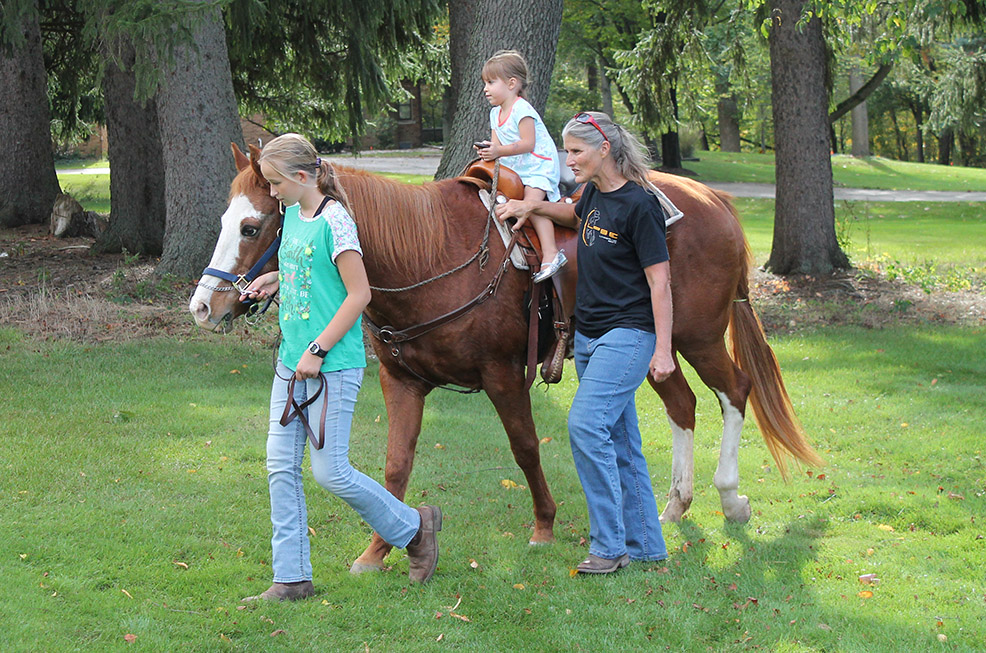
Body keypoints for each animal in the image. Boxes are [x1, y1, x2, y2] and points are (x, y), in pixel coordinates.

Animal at [188, 144, 820, 572]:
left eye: (252, 226)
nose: (202, 305)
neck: (428, 256)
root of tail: (714, 201)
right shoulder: (401, 383)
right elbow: (394, 466)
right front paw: (380, 550)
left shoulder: (501, 375)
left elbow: (525, 447)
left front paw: (543, 526)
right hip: (653, 351)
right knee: (684, 405)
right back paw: (675, 505)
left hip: (698, 336)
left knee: (734, 392)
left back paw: (730, 497)